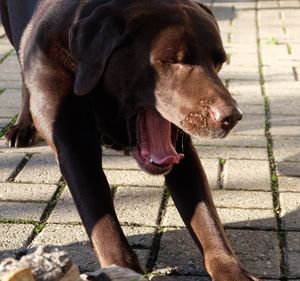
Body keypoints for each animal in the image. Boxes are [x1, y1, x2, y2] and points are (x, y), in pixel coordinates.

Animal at [0, 1, 258, 278]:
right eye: (172, 61)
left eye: (218, 62)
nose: (233, 117)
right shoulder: (73, 145)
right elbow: (103, 224)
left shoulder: (183, 152)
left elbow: (207, 218)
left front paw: (232, 270)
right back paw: (23, 126)